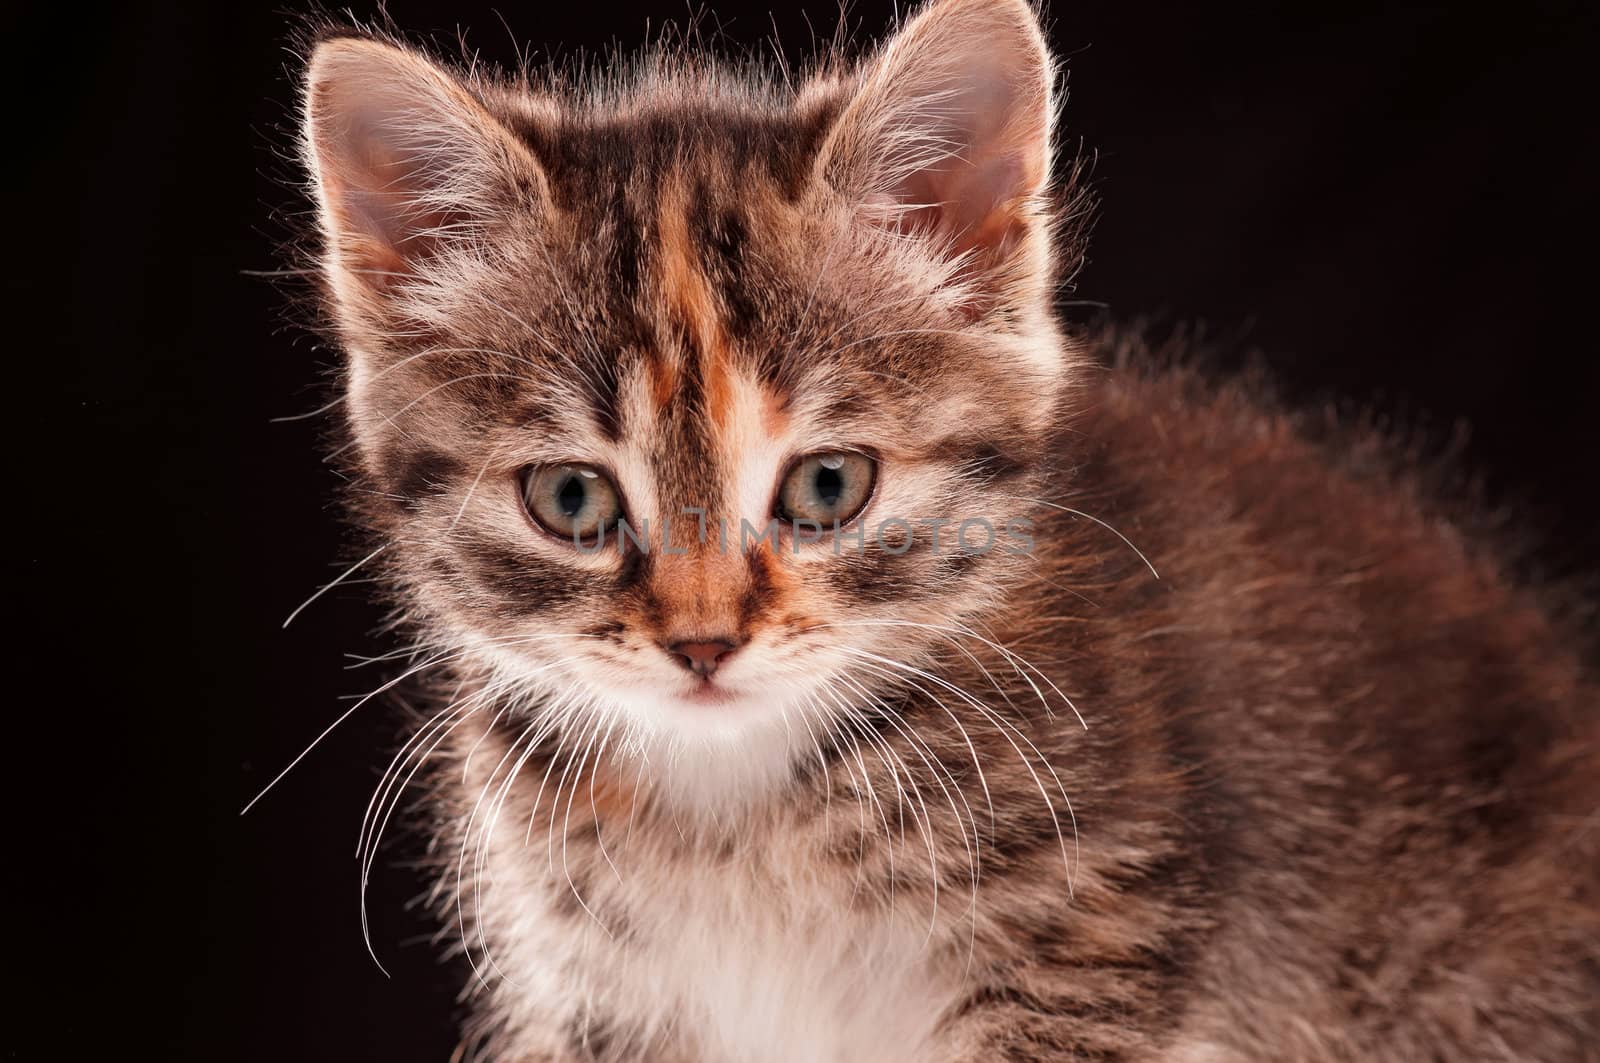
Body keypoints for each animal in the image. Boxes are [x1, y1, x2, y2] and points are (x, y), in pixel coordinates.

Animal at [294, 0, 1593, 1056]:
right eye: (571, 501)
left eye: (828, 486)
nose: (704, 644)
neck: (736, 805)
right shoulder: (602, 994)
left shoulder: (1086, 933)